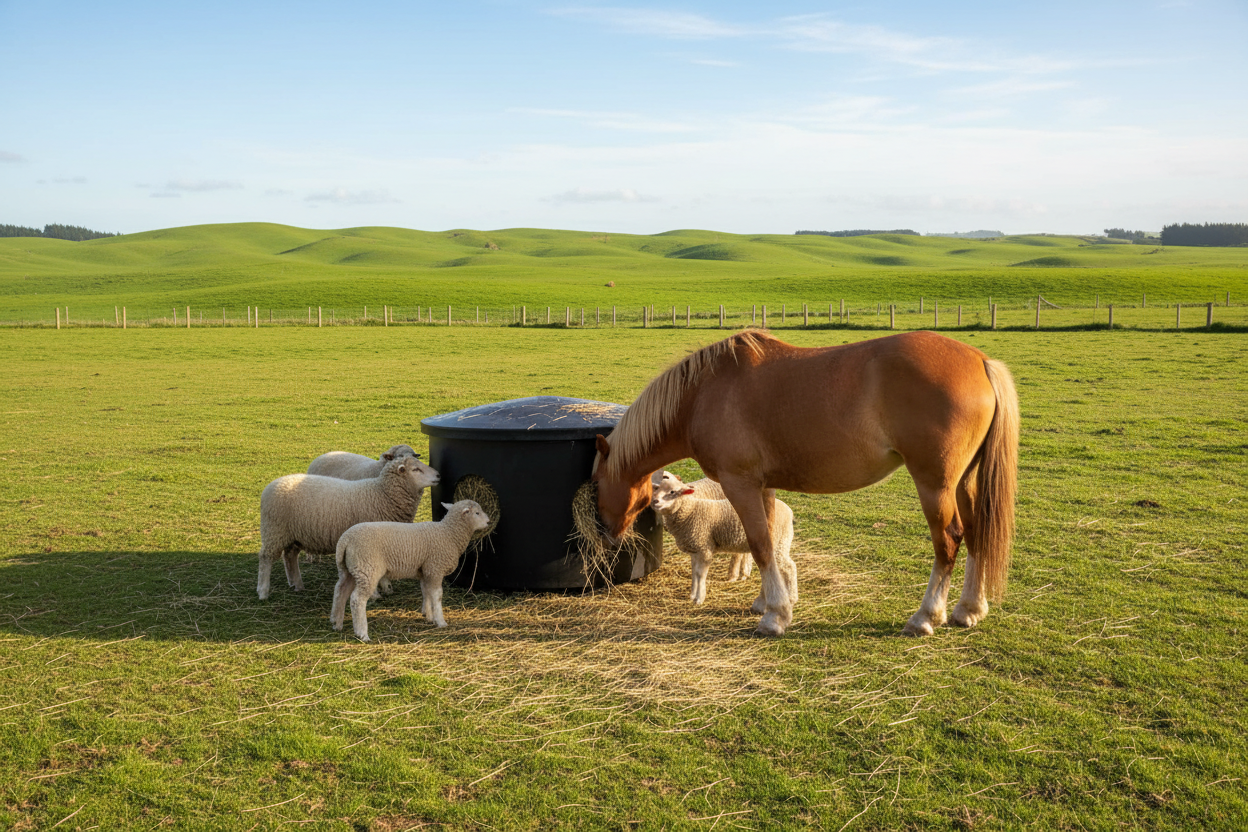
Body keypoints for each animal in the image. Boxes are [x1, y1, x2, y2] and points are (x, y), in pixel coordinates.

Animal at [257, 456, 440, 600]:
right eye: (416, 469)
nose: (438, 475)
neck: (382, 494)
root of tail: (272, 484)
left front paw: (386, 587)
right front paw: (375, 594)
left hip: (294, 534)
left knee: (289, 556)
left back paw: (297, 584)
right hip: (274, 530)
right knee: (266, 559)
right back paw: (263, 591)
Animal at [330, 499, 491, 642]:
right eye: (477, 513)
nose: (489, 522)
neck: (449, 533)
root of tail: (345, 540)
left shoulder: (426, 571)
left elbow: (426, 592)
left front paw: (428, 616)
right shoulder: (435, 568)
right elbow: (437, 595)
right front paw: (440, 621)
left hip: (350, 570)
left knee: (340, 591)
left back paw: (336, 623)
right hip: (367, 568)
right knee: (357, 600)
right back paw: (362, 633)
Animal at [651, 473, 797, 610]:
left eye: (672, 492)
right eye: (656, 489)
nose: (655, 501)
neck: (690, 510)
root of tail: (789, 511)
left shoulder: (705, 549)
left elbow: (700, 574)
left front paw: (699, 599)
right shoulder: (695, 550)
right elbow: (694, 572)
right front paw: (692, 595)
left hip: (778, 543)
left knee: (789, 567)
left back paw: (792, 598)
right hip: (781, 541)